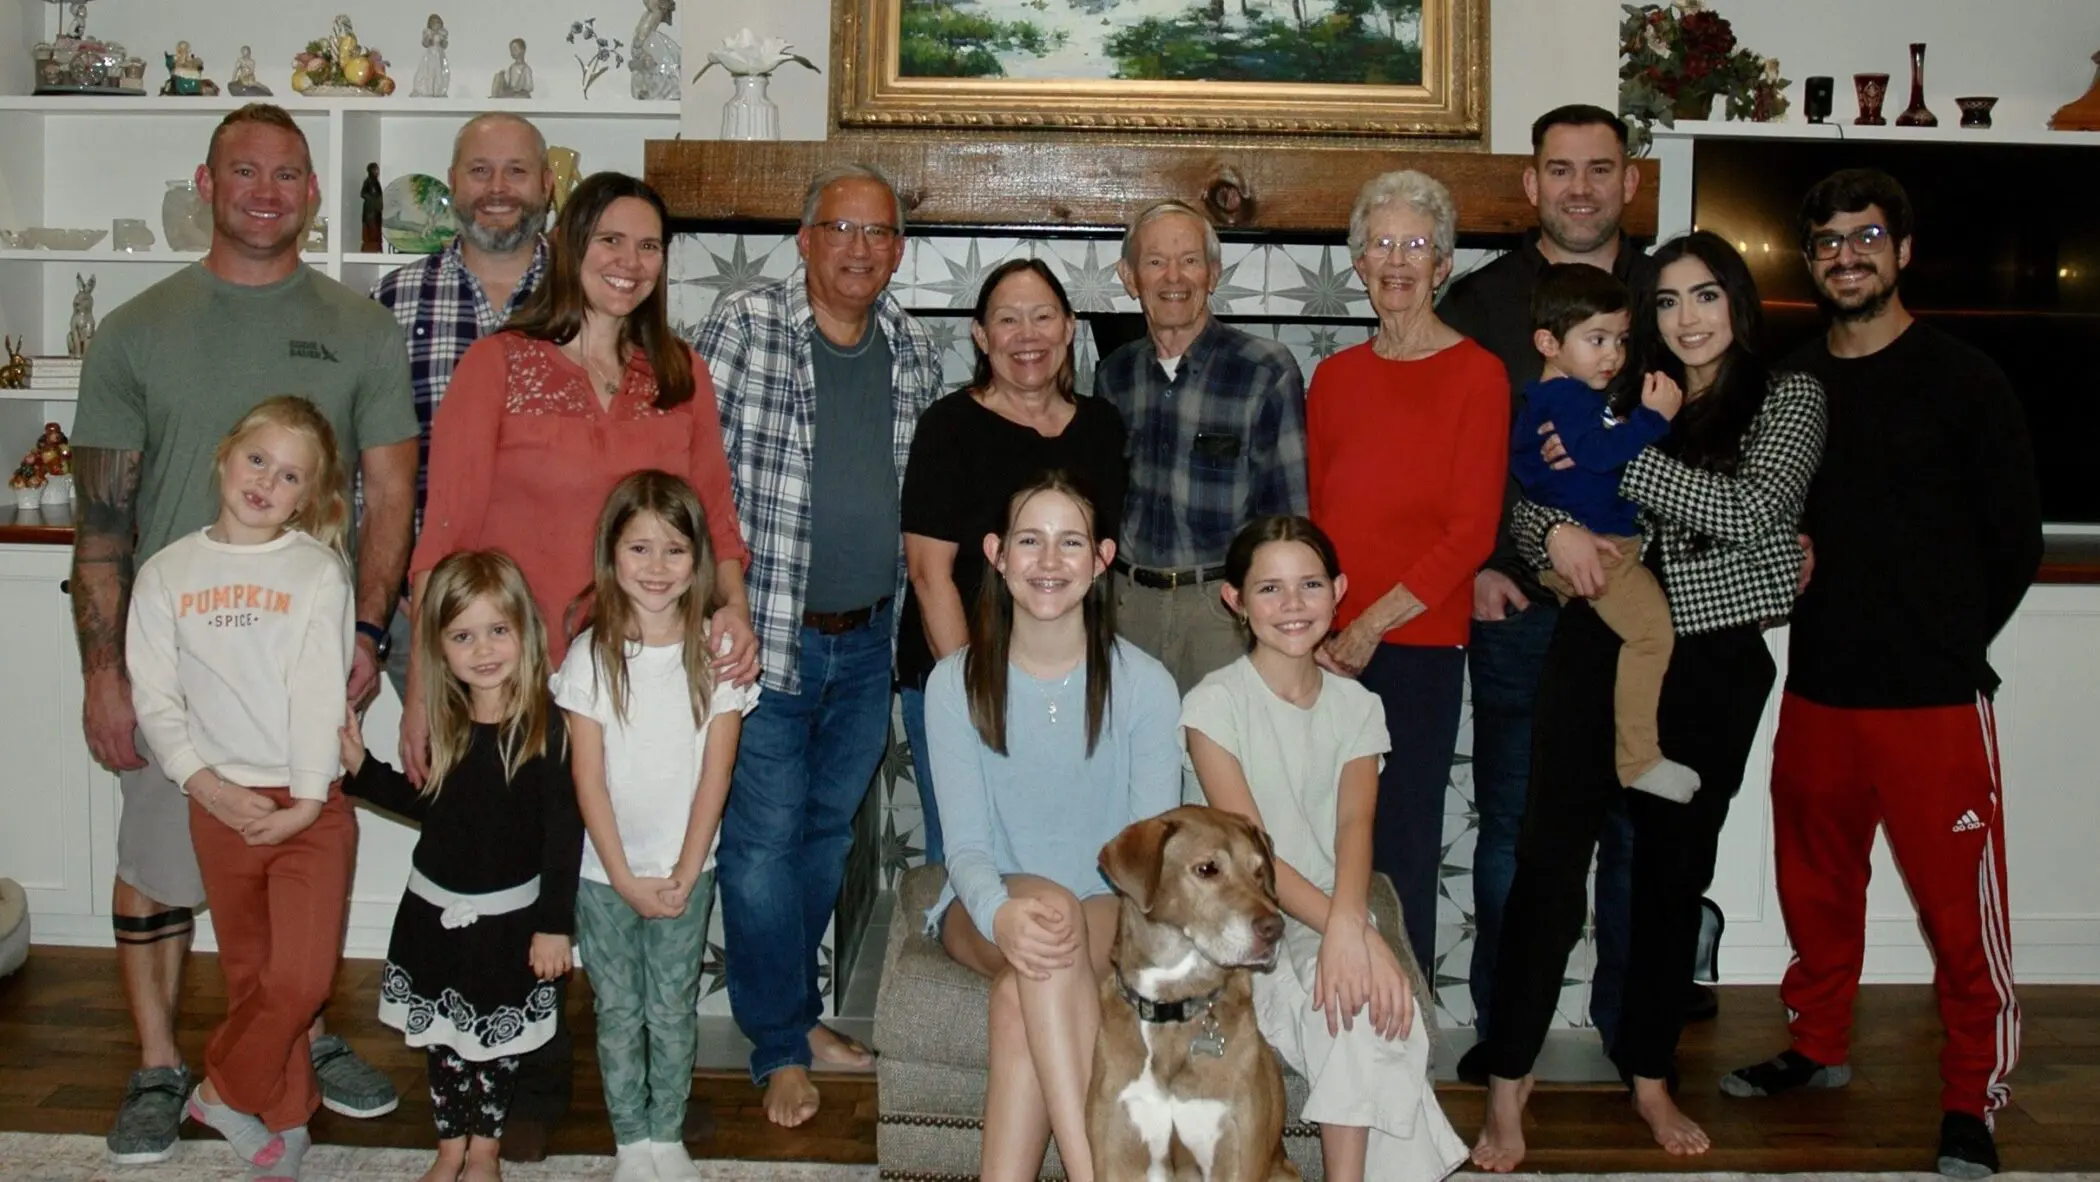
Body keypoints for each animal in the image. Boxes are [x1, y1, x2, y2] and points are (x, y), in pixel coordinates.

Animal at [1083, 810, 1293, 1175]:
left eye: (1258, 872)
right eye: (1207, 869)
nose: (1275, 929)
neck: (1174, 1002)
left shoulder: (1235, 1152)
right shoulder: (1117, 1151)